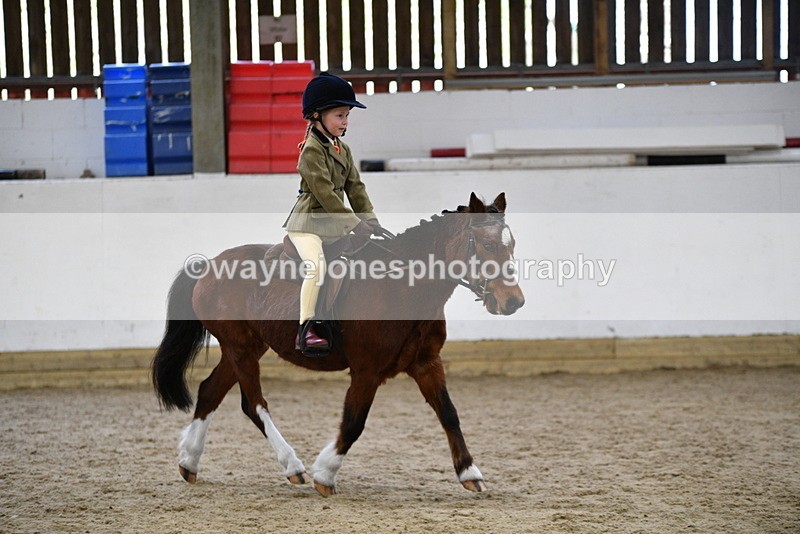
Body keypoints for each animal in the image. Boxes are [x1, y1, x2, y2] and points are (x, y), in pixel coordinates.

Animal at [152, 192, 525, 497]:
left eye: (512, 245)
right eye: (488, 245)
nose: (513, 302)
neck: (404, 285)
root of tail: (208, 266)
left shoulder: (426, 363)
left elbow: (449, 414)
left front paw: (470, 472)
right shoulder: (367, 371)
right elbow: (354, 422)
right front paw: (325, 474)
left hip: (243, 347)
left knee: (210, 391)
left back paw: (189, 461)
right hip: (240, 349)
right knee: (254, 404)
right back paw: (293, 466)